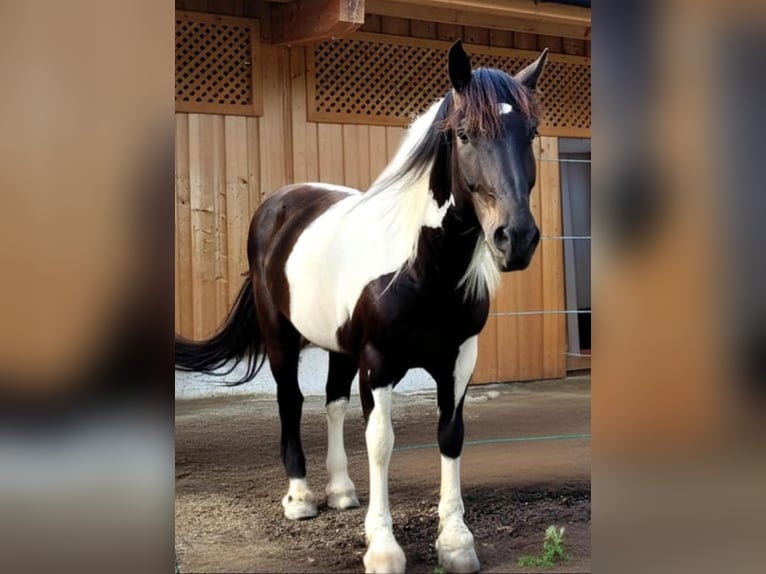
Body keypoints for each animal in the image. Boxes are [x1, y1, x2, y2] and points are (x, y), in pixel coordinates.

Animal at [177, 41, 548, 574]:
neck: (421, 268)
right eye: (464, 134)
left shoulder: (459, 360)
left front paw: (456, 542)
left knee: (333, 402)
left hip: (338, 347)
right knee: (291, 401)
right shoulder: (379, 363)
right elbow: (380, 442)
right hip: (280, 336)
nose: (515, 239)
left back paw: (341, 491)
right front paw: (383, 546)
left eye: (531, 133)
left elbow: (450, 435)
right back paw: (301, 497)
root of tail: (280, 203)